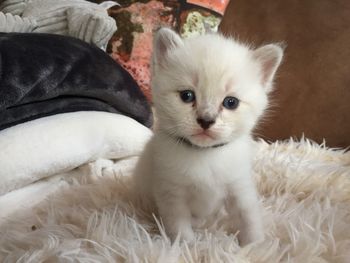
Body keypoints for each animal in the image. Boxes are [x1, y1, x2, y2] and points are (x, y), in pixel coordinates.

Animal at [133, 27, 284, 246]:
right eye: (187, 96)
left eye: (231, 102)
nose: (206, 120)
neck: (205, 155)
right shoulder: (172, 194)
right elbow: (179, 225)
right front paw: (186, 247)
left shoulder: (239, 187)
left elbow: (249, 217)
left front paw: (255, 245)